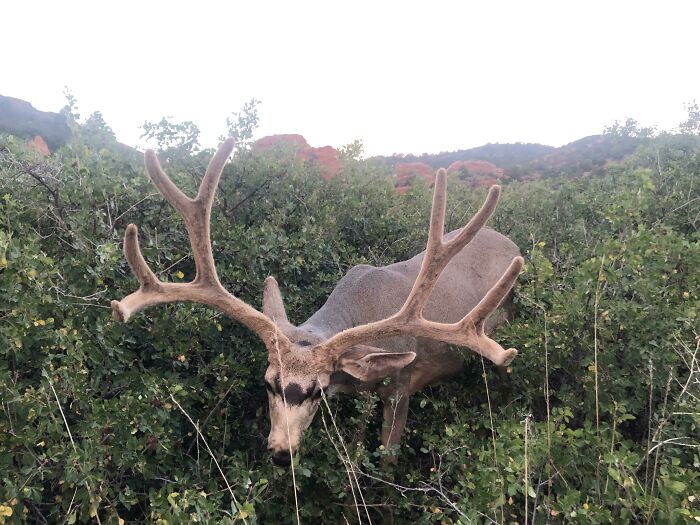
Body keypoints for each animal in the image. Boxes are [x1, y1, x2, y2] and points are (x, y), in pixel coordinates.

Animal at [110, 138, 524, 467]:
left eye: (319, 390)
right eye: (269, 382)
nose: (281, 453)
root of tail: (511, 242)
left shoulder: (402, 385)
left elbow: (385, 457)